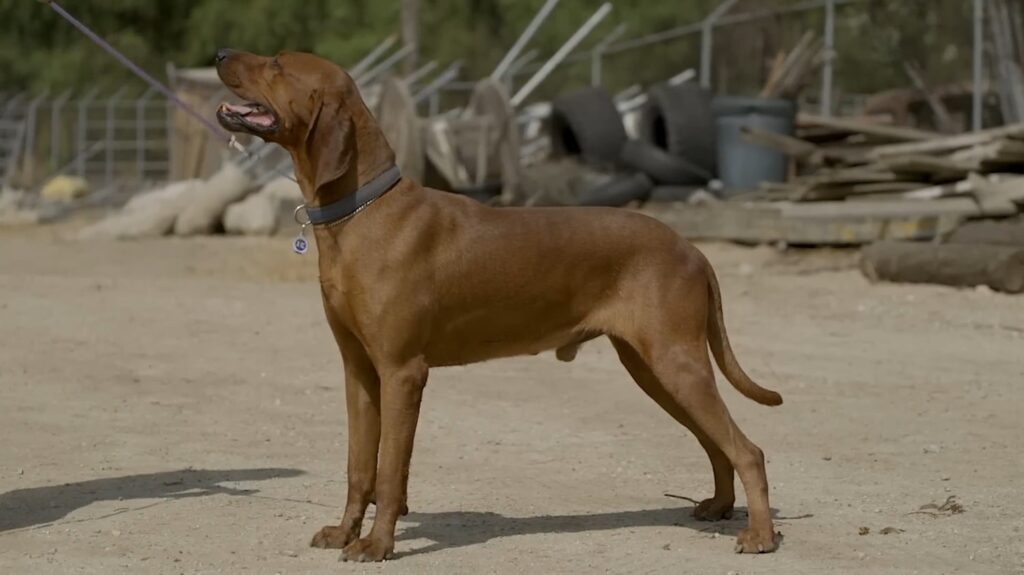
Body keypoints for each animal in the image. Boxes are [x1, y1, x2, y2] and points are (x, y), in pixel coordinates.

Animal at [211, 49, 778, 560]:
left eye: (277, 64)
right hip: (653, 369)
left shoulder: (402, 371)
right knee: (717, 442)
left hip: (674, 362)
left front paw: (377, 544)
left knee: (748, 449)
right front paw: (345, 532)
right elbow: (359, 467)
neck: (363, 211)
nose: (219, 54)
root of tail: (693, 248)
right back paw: (720, 508)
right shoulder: (359, 371)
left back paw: (760, 535)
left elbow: (390, 471)